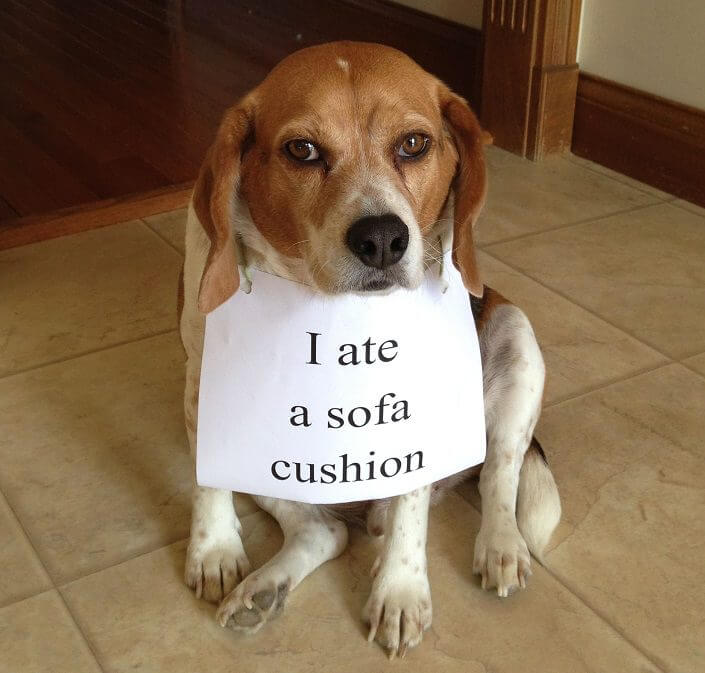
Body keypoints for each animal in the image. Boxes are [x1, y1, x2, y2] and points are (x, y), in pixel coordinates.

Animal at [180, 40, 560, 656]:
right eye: (303, 150)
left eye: (414, 144)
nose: (382, 238)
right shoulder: (202, 383)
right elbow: (206, 482)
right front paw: (213, 548)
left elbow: (417, 511)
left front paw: (400, 591)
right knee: (325, 532)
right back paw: (262, 589)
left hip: (517, 334)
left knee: (497, 473)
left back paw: (500, 546)